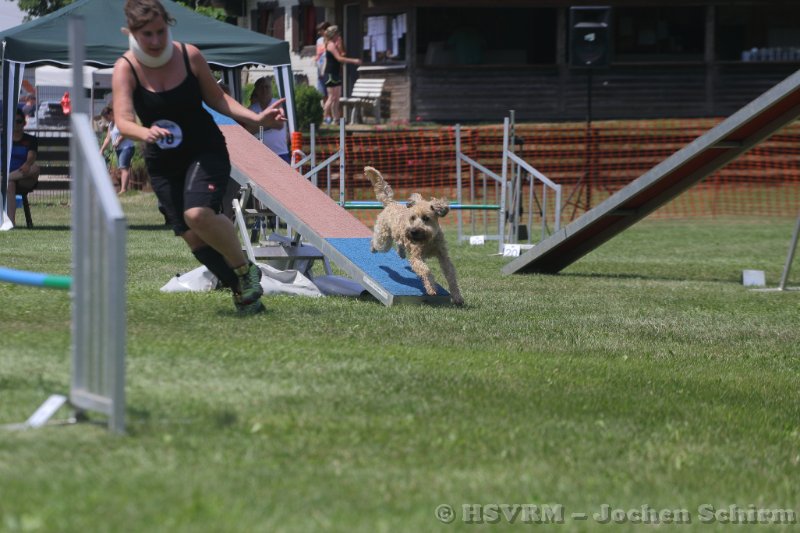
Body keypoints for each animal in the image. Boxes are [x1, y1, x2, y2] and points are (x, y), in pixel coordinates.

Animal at [364, 166, 464, 306]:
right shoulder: (416, 257)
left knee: (399, 243)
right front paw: (431, 287)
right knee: (376, 242)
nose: (413, 231)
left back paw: (401, 253)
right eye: (412, 217)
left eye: (426, 218)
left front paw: (457, 297)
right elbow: (426, 270)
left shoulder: (443, 256)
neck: (429, 240)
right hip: (384, 239)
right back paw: (373, 248)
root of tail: (391, 203)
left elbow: (451, 275)